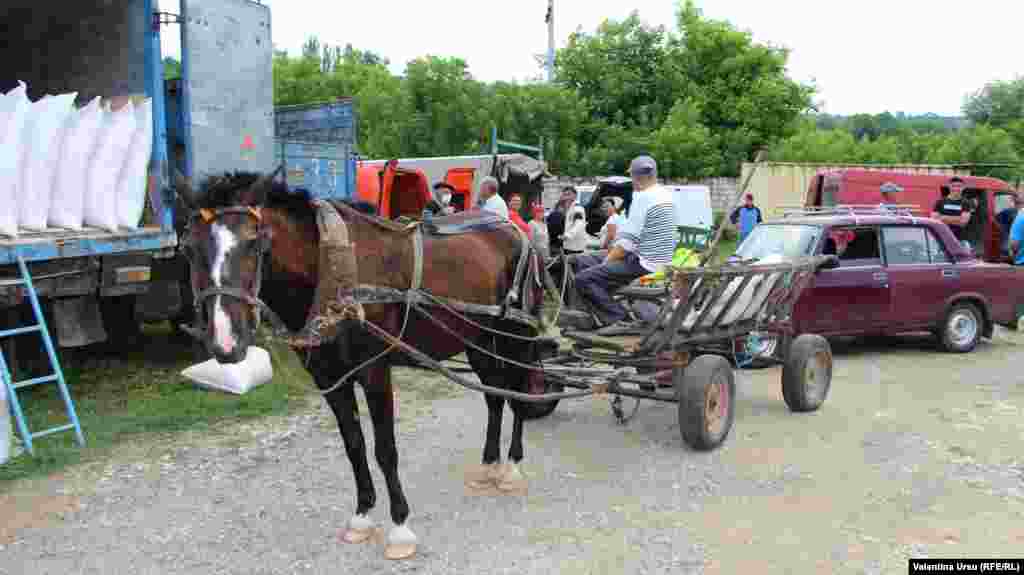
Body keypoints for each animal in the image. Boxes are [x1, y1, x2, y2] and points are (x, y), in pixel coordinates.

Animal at [180, 167, 557, 556]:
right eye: (188, 249)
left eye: (255, 243)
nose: (226, 343)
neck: (334, 267)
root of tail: (517, 231)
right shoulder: (328, 378)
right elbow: (354, 445)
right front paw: (362, 515)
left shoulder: (375, 371)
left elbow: (385, 449)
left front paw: (400, 527)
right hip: (477, 339)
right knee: (495, 395)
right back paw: (488, 465)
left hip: (516, 335)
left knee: (518, 392)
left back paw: (511, 467)